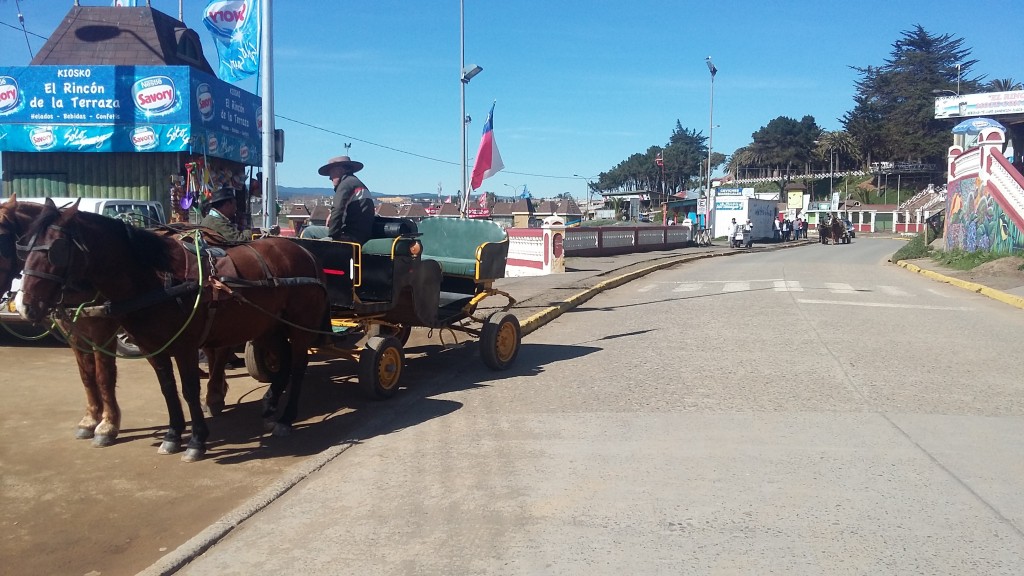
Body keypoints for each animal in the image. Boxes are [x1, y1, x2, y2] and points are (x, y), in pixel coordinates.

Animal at [18, 195, 325, 457]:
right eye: (25, 248)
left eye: (56, 250)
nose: (25, 306)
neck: (157, 278)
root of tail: (302, 250)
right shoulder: (152, 347)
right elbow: (167, 388)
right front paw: (173, 435)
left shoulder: (185, 346)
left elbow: (189, 389)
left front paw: (197, 440)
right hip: (270, 326)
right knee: (284, 361)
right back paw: (271, 404)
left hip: (299, 327)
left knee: (298, 366)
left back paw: (286, 418)